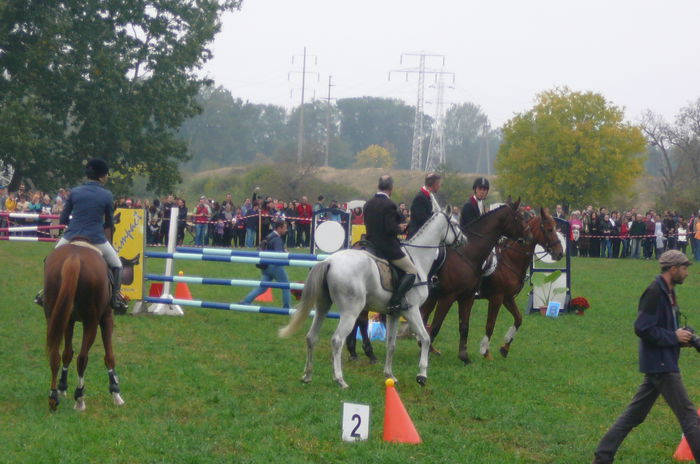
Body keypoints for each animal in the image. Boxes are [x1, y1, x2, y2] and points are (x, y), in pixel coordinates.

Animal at [43, 241, 124, 412]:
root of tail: (74, 258)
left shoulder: (68, 321)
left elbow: (67, 353)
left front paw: (62, 386)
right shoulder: (106, 318)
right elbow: (109, 356)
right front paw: (115, 392)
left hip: (53, 316)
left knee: (55, 355)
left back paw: (53, 397)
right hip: (91, 322)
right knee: (82, 358)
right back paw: (80, 398)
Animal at [278, 207, 464, 388]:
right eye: (455, 223)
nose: (464, 239)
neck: (417, 259)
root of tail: (329, 261)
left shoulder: (394, 314)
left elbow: (391, 345)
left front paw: (390, 375)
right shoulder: (411, 310)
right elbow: (425, 338)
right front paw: (422, 376)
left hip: (323, 307)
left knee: (311, 337)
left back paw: (308, 376)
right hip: (350, 312)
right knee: (337, 340)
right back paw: (339, 379)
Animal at [422, 207, 564, 362]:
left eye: (556, 228)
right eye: (549, 229)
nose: (560, 253)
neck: (509, 260)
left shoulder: (507, 298)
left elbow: (518, 319)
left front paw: (505, 347)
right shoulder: (497, 297)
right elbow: (490, 324)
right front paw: (485, 351)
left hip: (433, 296)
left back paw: (431, 349)